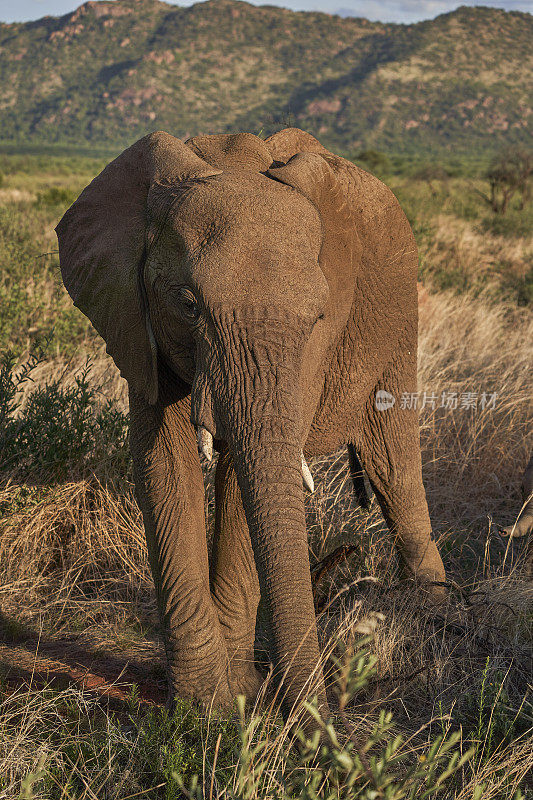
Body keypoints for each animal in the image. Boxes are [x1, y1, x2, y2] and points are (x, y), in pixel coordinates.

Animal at [55, 128, 444, 720]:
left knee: (393, 463)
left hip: (399, 312)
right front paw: (205, 708)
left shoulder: (311, 350)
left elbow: (245, 474)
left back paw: (435, 614)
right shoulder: (134, 319)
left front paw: (237, 695)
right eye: (188, 304)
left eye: (318, 316)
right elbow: (165, 465)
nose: (315, 720)